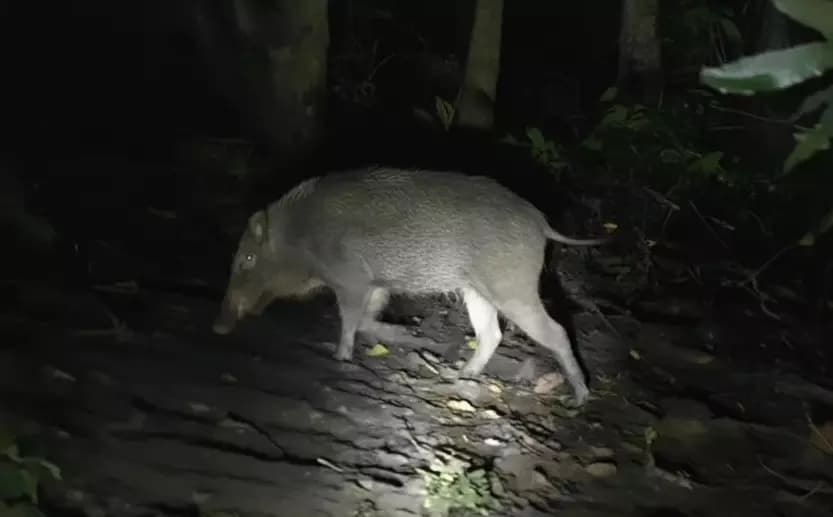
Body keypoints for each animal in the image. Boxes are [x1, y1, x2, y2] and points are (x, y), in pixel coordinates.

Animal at [213, 166, 607, 406]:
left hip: (513, 288)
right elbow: (366, 320)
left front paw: (339, 356)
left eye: (247, 258)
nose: (217, 327)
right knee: (491, 333)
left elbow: (349, 320)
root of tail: (541, 222)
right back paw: (461, 373)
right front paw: (401, 335)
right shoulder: (375, 285)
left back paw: (580, 397)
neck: (301, 235)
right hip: (477, 291)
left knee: (555, 331)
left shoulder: (351, 280)